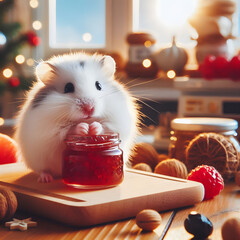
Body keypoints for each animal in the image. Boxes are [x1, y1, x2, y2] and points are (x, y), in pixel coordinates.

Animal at [14, 52, 139, 182]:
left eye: (99, 85)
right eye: (68, 87)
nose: (89, 108)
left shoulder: (118, 122)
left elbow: (104, 126)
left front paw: (93, 128)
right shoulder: (50, 131)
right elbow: (68, 129)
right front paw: (84, 127)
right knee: (43, 170)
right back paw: (46, 178)